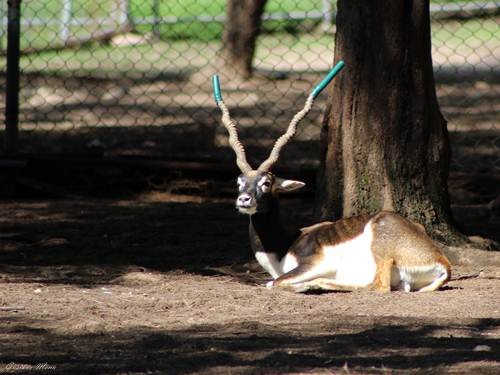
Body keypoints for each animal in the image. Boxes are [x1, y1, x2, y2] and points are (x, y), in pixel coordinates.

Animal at [211, 61, 450, 294]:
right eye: (239, 182)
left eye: (266, 183)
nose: (244, 199)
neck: (284, 246)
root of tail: (442, 261)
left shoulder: (315, 264)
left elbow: (273, 282)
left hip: (381, 249)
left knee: (378, 286)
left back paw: (308, 285)